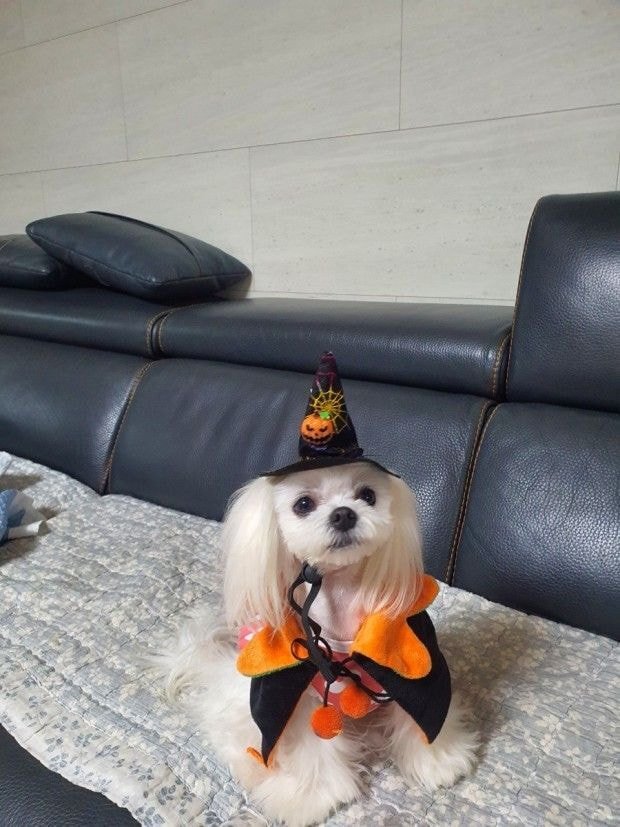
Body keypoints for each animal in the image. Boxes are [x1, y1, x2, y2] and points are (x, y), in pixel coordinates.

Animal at [156, 461, 478, 826]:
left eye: (368, 495)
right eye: (303, 504)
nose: (343, 514)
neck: (340, 595)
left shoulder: (405, 658)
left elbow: (420, 710)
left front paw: (438, 761)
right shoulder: (296, 694)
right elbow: (308, 746)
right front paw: (313, 799)